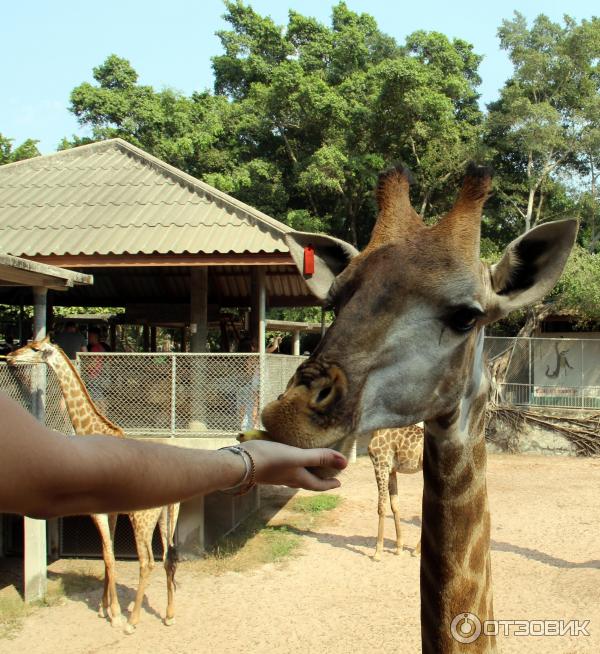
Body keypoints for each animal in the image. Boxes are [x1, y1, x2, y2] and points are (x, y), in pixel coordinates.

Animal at [7, 338, 179, 636]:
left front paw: (115, 615)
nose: (10, 357)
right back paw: (168, 615)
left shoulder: (97, 510)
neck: (92, 430)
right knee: (169, 557)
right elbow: (106, 554)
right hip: (168, 514)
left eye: (34, 348)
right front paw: (103, 608)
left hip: (142, 517)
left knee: (147, 561)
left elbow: (108, 555)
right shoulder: (112, 511)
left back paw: (133, 622)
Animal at [368, 428, 424, 560]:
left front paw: (377, 553)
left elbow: (381, 507)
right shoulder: (392, 470)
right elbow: (395, 505)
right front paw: (399, 548)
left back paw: (416, 551)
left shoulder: (380, 464)